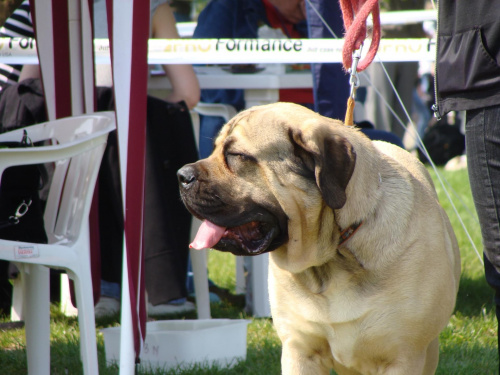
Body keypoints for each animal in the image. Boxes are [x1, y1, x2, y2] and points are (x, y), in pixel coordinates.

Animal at [177, 103, 460, 375]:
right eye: (214, 149)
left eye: (236, 155)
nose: (181, 175)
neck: (335, 254)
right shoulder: (300, 350)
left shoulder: (402, 356)